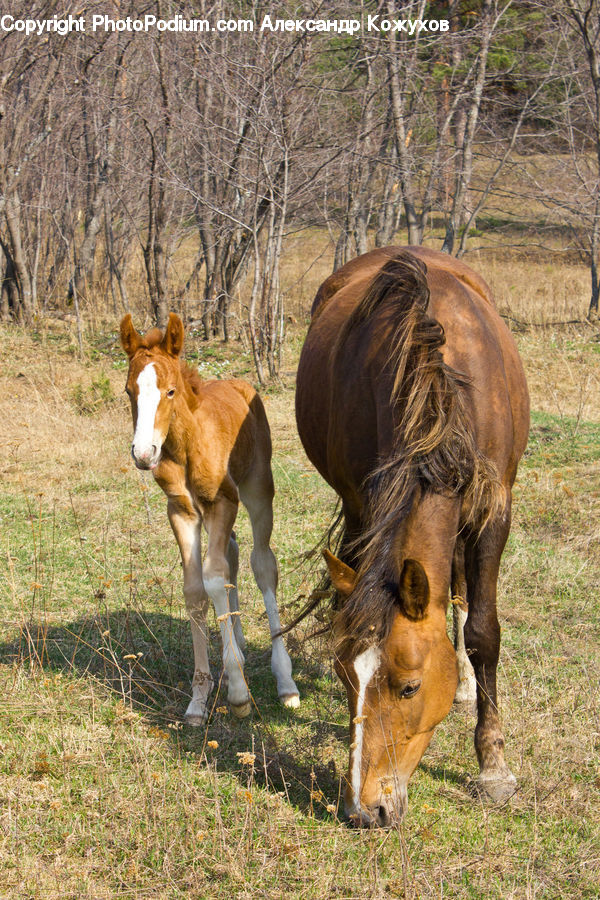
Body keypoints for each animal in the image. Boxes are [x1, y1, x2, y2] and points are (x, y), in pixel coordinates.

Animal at [120, 312, 300, 720]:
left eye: (170, 391)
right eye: (128, 391)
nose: (143, 453)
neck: (186, 444)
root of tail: (240, 383)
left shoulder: (222, 502)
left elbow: (215, 579)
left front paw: (237, 691)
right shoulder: (182, 510)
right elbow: (194, 591)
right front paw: (199, 698)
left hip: (257, 490)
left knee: (262, 564)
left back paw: (285, 681)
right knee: (233, 554)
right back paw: (239, 642)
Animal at [296, 248, 528, 828]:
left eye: (409, 687)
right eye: (345, 677)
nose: (365, 809)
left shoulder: (495, 508)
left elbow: (484, 631)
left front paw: (493, 766)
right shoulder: (363, 506)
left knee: (463, 589)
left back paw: (467, 684)